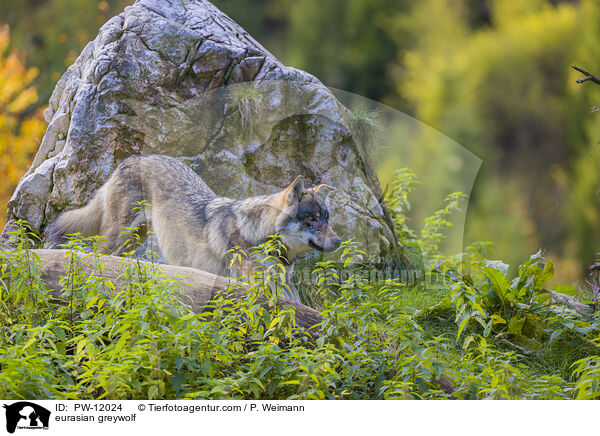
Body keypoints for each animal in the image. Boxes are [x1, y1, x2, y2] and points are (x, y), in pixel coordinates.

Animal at [44, 155, 340, 302]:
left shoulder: (283, 284)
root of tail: (131, 158)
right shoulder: (255, 282)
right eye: (310, 218)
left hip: (134, 241)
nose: (338, 242)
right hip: (119, 236)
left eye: (326, 218)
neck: (259, 234)